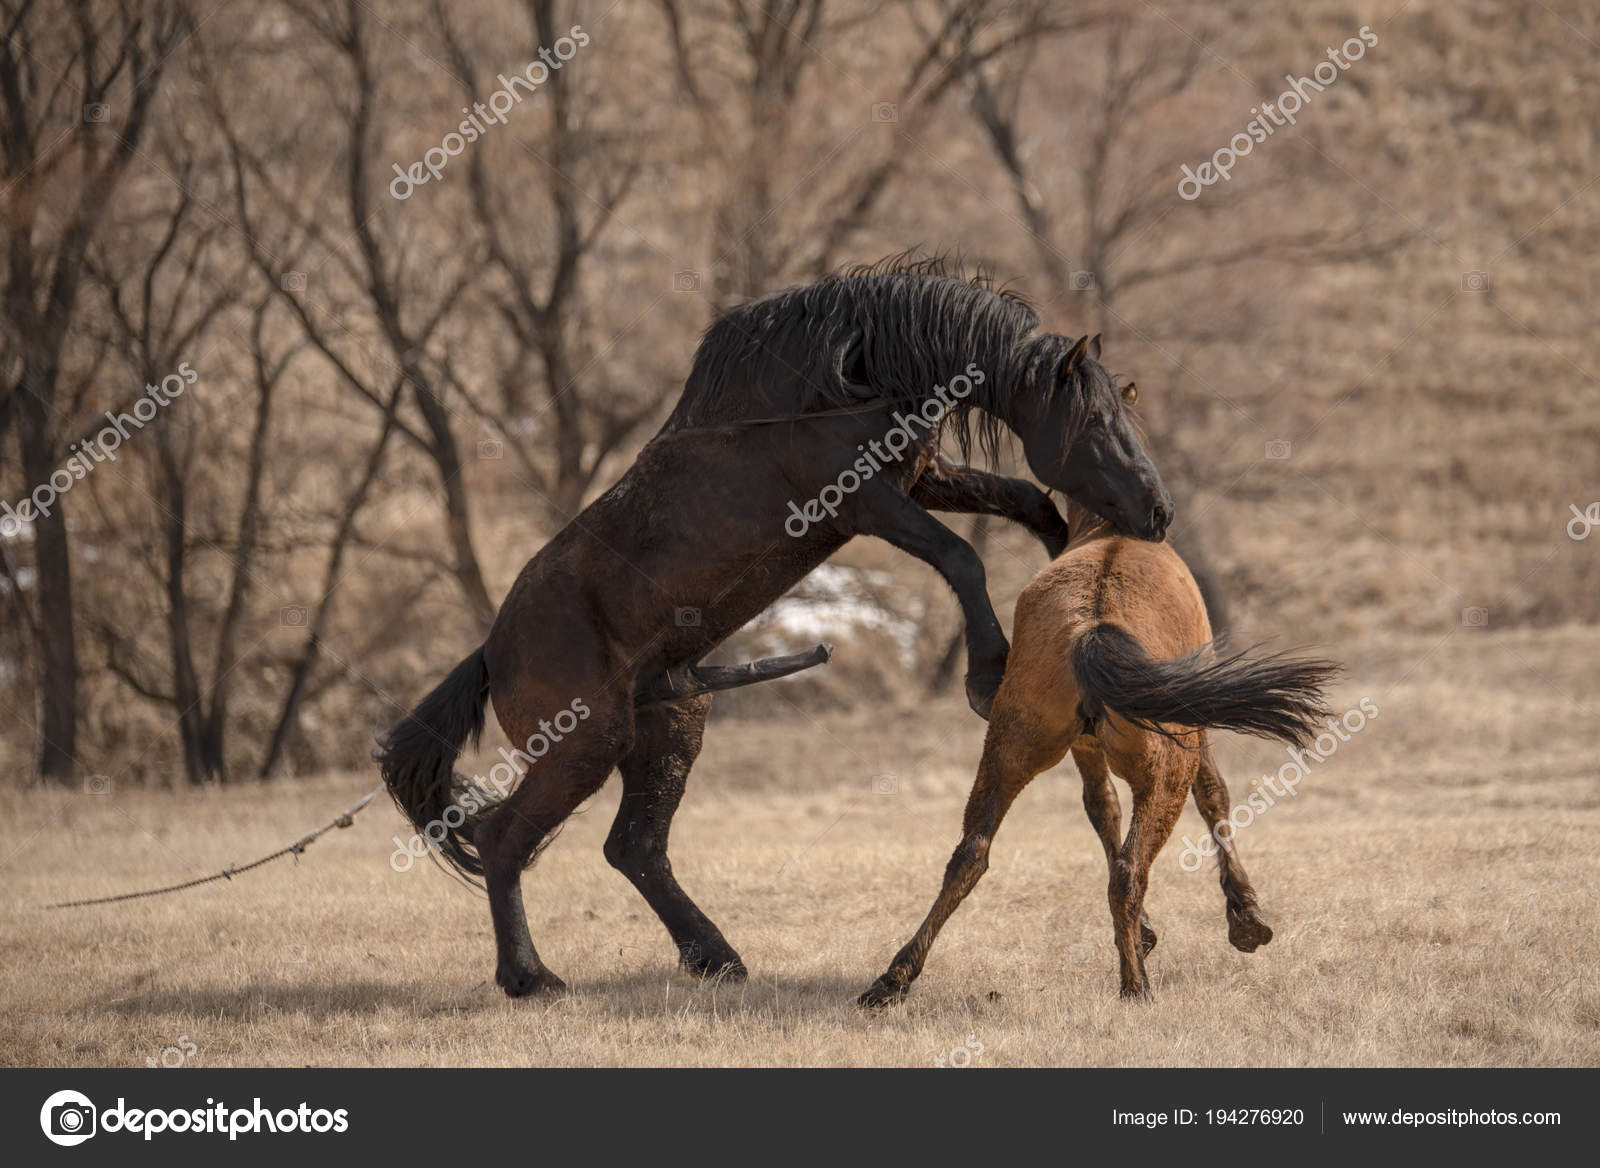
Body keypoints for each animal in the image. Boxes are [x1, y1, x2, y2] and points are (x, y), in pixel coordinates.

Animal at [374, 257, 1177, 992]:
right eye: (1095, 420)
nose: (1158, 511)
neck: (843, 381)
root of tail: (491, 652)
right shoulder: (863, 501)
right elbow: (960, 557)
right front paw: (987, 671)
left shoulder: (921, 479)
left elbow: (1029, 505)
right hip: (582, 746)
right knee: (504, 838)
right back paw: (530, 976)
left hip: (669, 730)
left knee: (633, 849)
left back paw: (716, 959)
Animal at [864, 486, 1337, 1004]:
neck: (1109, 530)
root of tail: (1092, 625)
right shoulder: (1196, 732)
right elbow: (1214, 796)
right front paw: (1246, 919)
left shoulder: (1085, 749)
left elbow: (1101, 807)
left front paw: (1145, 932)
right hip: (1165, 773)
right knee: (1131, 868)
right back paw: (1136, 986)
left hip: (1007, 754)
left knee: (971, 852)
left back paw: (895, 977)